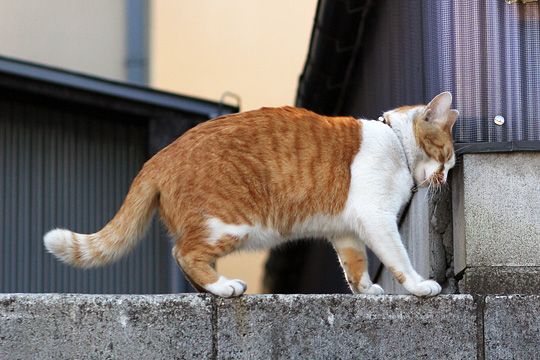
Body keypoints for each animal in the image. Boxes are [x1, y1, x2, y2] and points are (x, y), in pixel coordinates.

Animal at [44, 91, 458, 296]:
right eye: (447, 155)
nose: (447, 175)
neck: (395, 143)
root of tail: (159, 157)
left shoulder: (345, 231)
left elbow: (354, 265)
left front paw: (367, 290)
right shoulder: (376, 219)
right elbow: (399, 259)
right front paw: (419, 286)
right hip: (228, 224)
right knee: (184, 253)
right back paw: (223, 287)